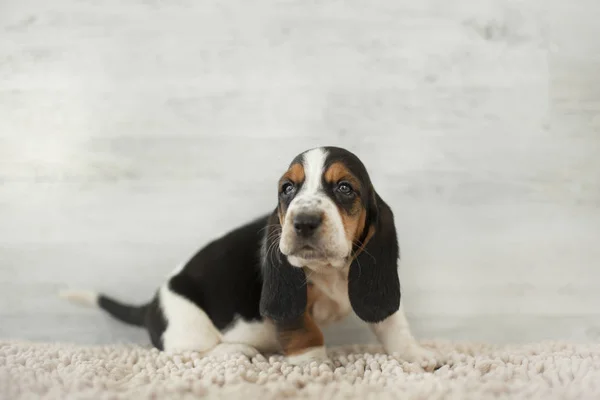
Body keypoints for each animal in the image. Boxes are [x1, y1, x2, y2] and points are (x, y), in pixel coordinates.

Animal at [61, 146, 434, 366]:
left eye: (344, 188)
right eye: (287, 189)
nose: (303, 222)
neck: (329, 270)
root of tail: (150, 305)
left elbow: (394, 326)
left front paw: (414, 355)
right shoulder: (293, 304)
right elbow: (306, 331)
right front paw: (313, 366)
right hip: (188, 322)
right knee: (187, 351)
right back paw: (237, 350)